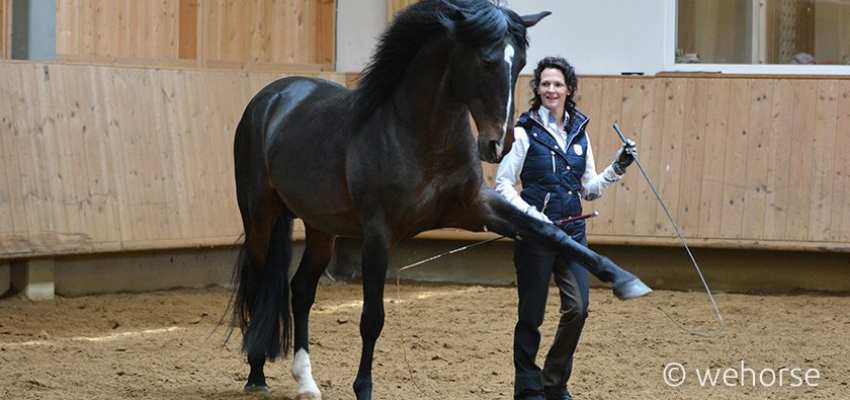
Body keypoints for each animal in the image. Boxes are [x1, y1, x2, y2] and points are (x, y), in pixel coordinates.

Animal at [227, 0, 648, 400]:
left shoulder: (478, 208)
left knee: (300, 291)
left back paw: (306, 382)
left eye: (521, 64)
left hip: (321, 227)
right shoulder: (378, 233)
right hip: (260, 215)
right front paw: (363, 388)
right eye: (486, 61)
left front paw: (626, 280)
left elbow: (550, 232)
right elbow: (372, 318)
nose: (499, 144)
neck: (419, 134)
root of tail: (273, 96)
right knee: (258, 284)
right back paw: (256, 374)